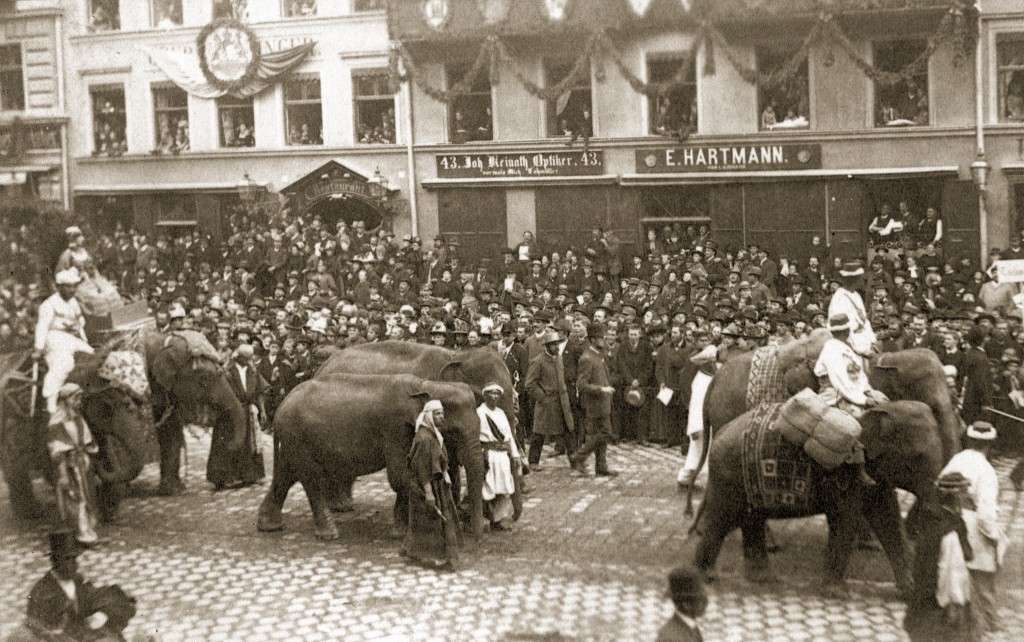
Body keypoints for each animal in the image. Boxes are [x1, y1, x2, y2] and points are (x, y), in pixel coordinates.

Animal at [0, 348, 155, 520]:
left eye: (140, 401)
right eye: (107, 405)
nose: (98, 465)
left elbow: (105, 453)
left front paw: (106, 509)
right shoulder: (40, 421)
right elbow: (51, 463)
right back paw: (32, 513)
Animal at [253, 374, 481, 540]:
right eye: (455, 431)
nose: (475, 535)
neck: (425, 384)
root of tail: (280, 408)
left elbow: (406, 474)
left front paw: (399, 532)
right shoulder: (394, 429)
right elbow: (399, 476)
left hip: (293, 440)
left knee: (285, 475)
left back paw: (269, 526)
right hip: (298, 438)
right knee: (311, 480)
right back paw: (329, 534)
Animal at [313, 341, 520, 536]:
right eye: (482, 393)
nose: (510, 521)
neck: (456, 354)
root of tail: (321, 367)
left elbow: (450, 461)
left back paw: (343, 504)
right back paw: (339, 506)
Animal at [688, 399, 942, 602]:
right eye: (919, 457)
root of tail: (719, 432)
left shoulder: (876, 477)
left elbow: (889, 521)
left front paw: (909, 594)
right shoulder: (844, 475)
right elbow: (846, 522)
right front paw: (839, 594)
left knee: (751, 518)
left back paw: (762, 579)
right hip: (729, 476)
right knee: (723, 520)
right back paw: (705, 577)